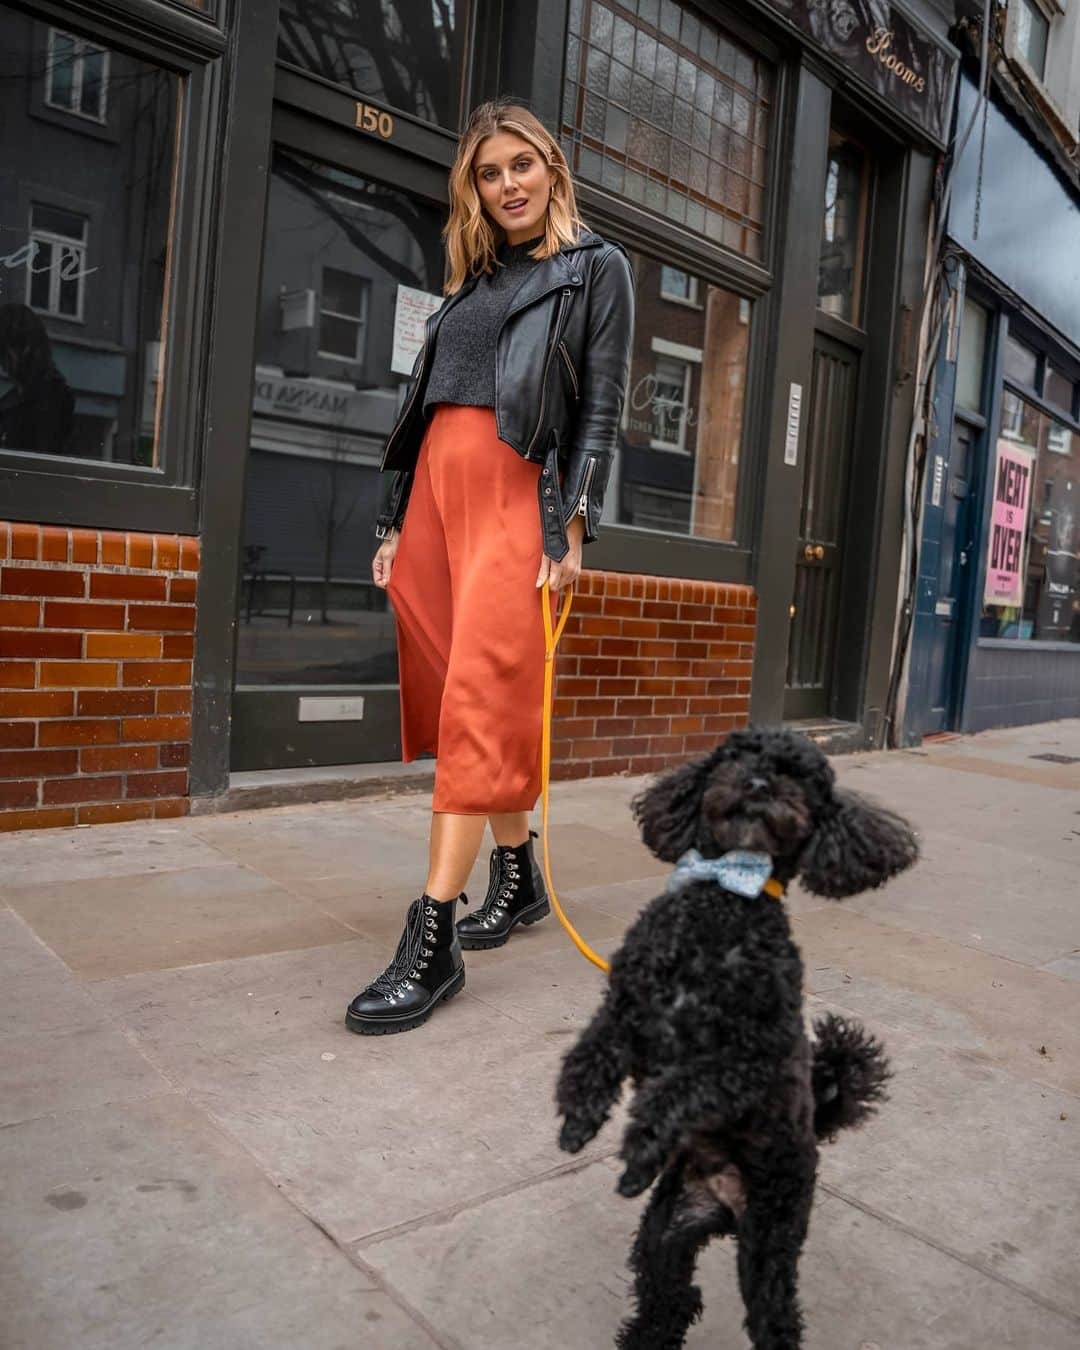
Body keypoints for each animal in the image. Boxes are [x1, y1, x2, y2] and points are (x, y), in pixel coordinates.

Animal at [556, 729, 918, 1350]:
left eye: (799, 777)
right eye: (736, 757)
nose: (758, 784)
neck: (725, 900)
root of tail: (723, 1206)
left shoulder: (749, 1060)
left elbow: (680, 1089)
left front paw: (642, 1141)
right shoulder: (629, 1008)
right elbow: (591, 1053)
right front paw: (579, 1118)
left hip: (771, 1238)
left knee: (774, 1319)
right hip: (666, 1232)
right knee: (672, 1302)